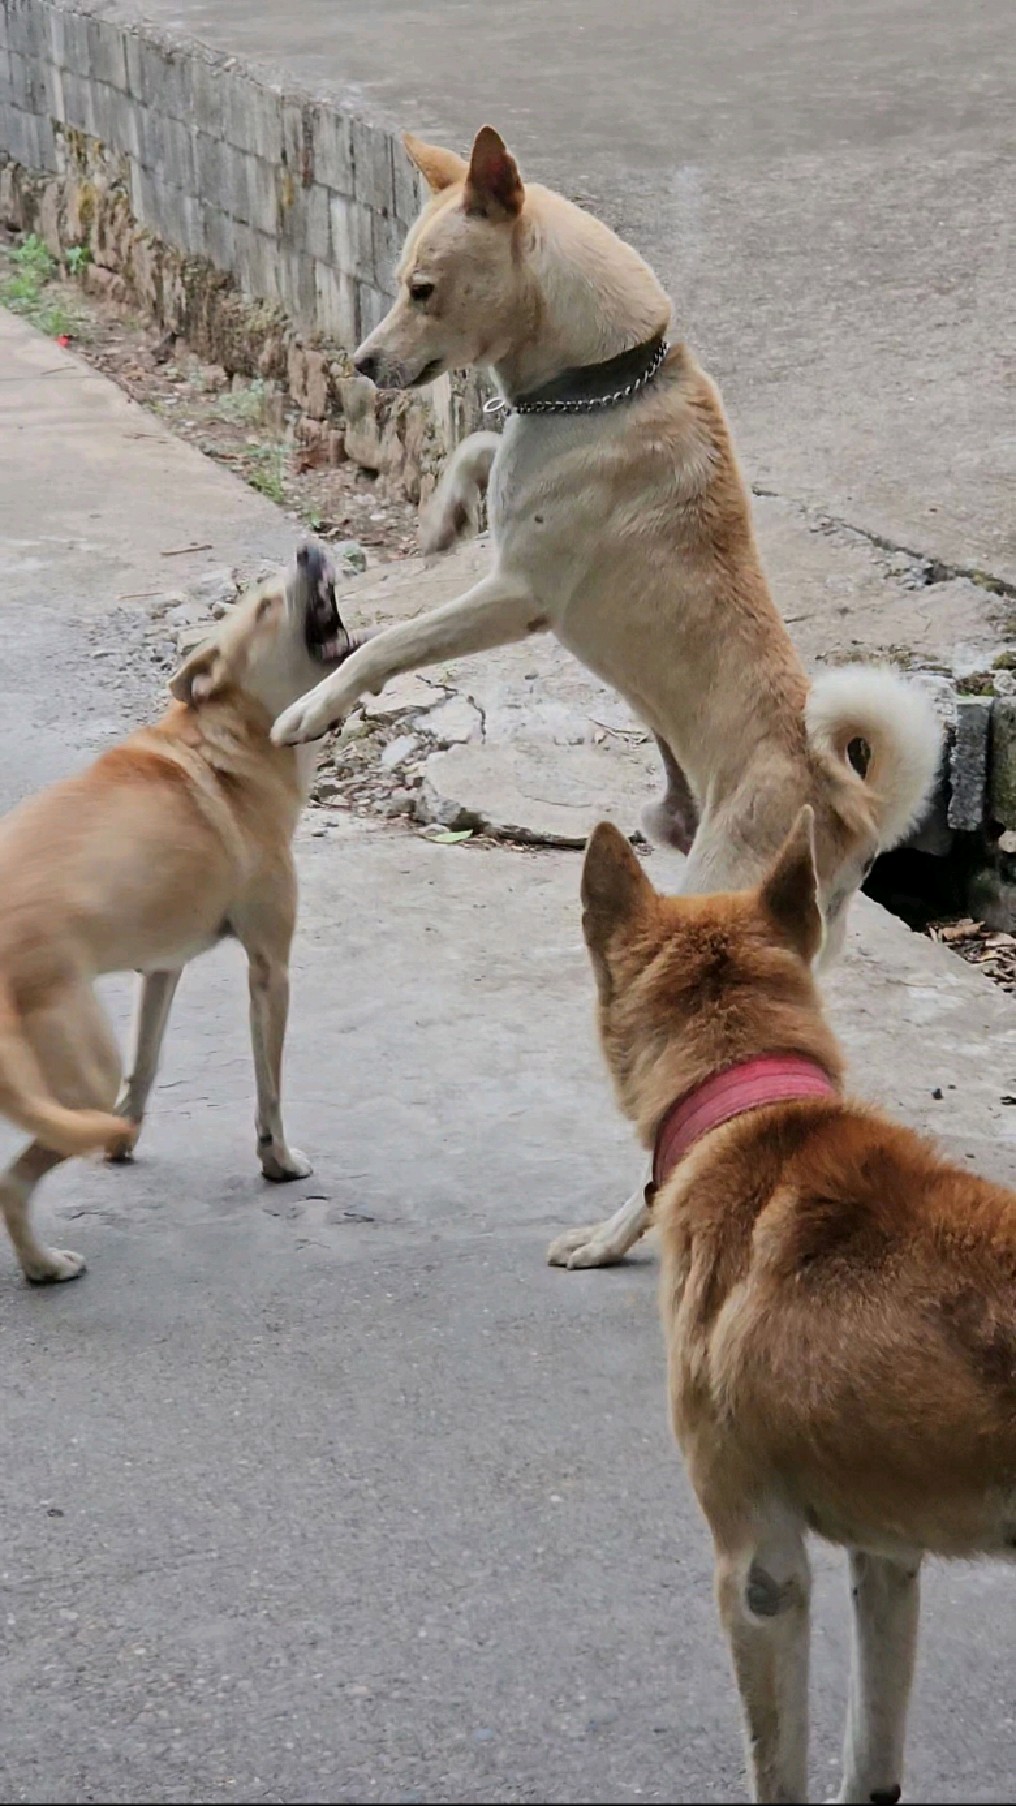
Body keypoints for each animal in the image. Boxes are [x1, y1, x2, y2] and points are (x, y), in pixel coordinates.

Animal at [0, 545, 364, 1285]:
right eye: (266, 605)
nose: (307, 548)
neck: (231, 739)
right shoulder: (270, 969)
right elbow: (270, 1088)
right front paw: (278, 1161)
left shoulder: (161, 970)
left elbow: (147, 1064)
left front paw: (126, 1140)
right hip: (81, 1074)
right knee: (11, 1183)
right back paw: (44, 1264)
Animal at [272, 127, 945, 1271]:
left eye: (421, 289)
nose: (361, 364)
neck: (602, 378)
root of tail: (847, 801)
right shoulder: (508, 501)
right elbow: (478, 448)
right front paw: (444, 507)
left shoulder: (516, 596)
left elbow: (388, 645)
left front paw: (313, 708)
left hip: (715, 898)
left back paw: (616, 1234)